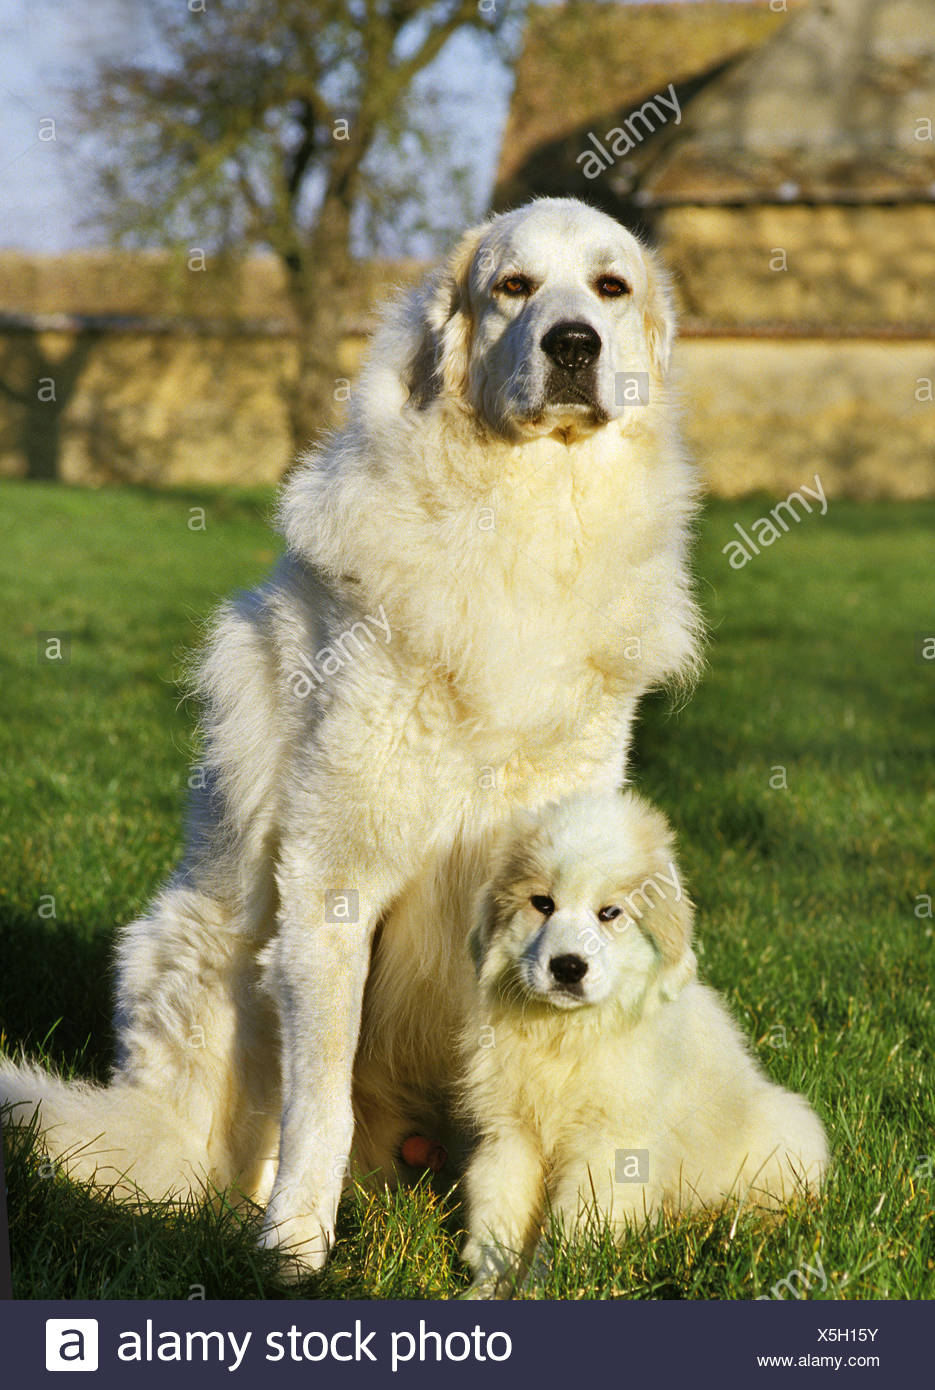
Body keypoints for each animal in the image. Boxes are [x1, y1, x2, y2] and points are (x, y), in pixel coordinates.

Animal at [458, 789, 822, 1295]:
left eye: (610, 913)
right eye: (542, 903)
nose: (567, 967)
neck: (567, 1036)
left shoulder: (610, 1148)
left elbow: (569, 1230)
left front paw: (542, 1289)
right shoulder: (511, 1136)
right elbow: (500, 1222)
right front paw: (489, 1289)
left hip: (786, 1131)